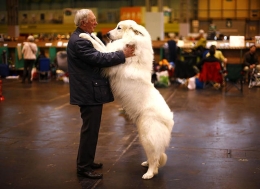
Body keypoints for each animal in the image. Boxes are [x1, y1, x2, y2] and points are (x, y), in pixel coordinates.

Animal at [78, 19, 174, 179]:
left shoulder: (110, 57)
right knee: (154, 156)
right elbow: (101, 44)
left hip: (147, 137)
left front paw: (85, 36)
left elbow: (99, 47)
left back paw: (149, 174)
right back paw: (146, 165)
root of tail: (170, 121)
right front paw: (93, 36)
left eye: (119, 28)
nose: (107, 34)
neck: (133, 42)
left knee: (155, 158)